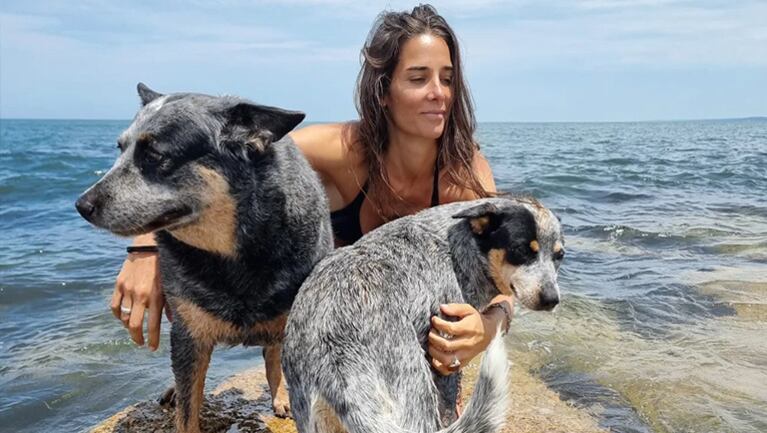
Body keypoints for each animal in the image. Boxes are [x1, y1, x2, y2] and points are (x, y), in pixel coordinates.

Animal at [74, 82, 332, 430]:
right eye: (120, 148)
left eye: (154, 155)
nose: (82, 205)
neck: (235, 254)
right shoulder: (189, 334)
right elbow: (188, 408)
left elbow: (279, 360)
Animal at [282, 197, 564, 432]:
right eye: (522, 250)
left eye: (559, 256)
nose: (552, 299)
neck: (457, 249)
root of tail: (334, 361)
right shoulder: (445, 354)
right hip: (415, 394)